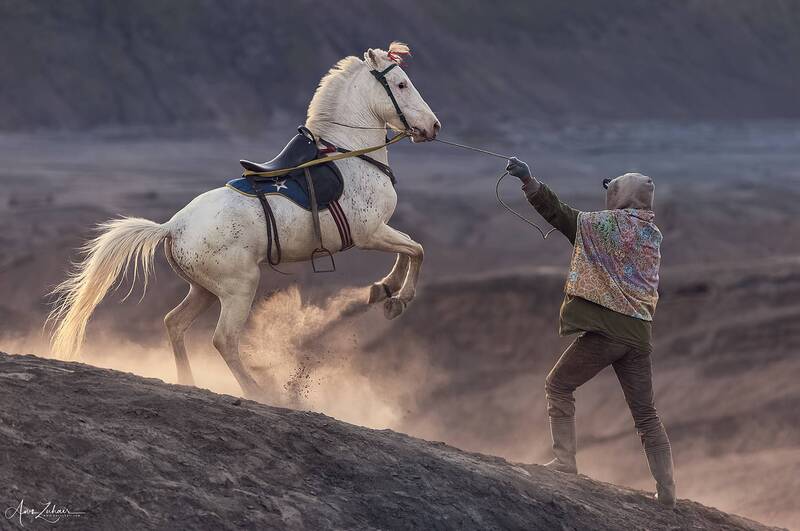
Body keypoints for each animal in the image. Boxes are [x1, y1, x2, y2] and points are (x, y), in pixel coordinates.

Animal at [49, 42, 440, 400]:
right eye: (402, 84)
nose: (433, 126)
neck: (348, 155)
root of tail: (172, 227)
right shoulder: (369, 233)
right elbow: (416, 249)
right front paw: (396, 297)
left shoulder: (375, 233)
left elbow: (410, 249)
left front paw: (385, 290)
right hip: (238, 287)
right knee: (223, 339)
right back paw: (261, 390)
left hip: (205, 289)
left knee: (174, 323)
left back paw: (189, 380)